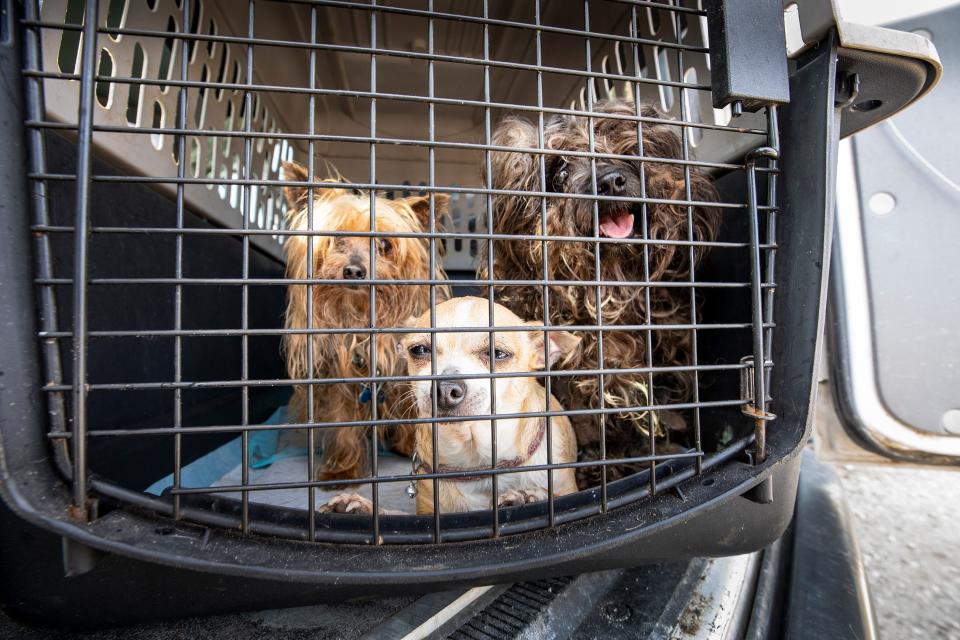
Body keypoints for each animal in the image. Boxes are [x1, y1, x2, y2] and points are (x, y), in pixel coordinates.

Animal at [284, 162, 452, 482]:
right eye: (337, 238)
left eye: (384, 243)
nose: (353, 270)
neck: (362, 318)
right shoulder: (336, 374)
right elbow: (342, 420)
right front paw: (341, 469)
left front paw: (410, 446)